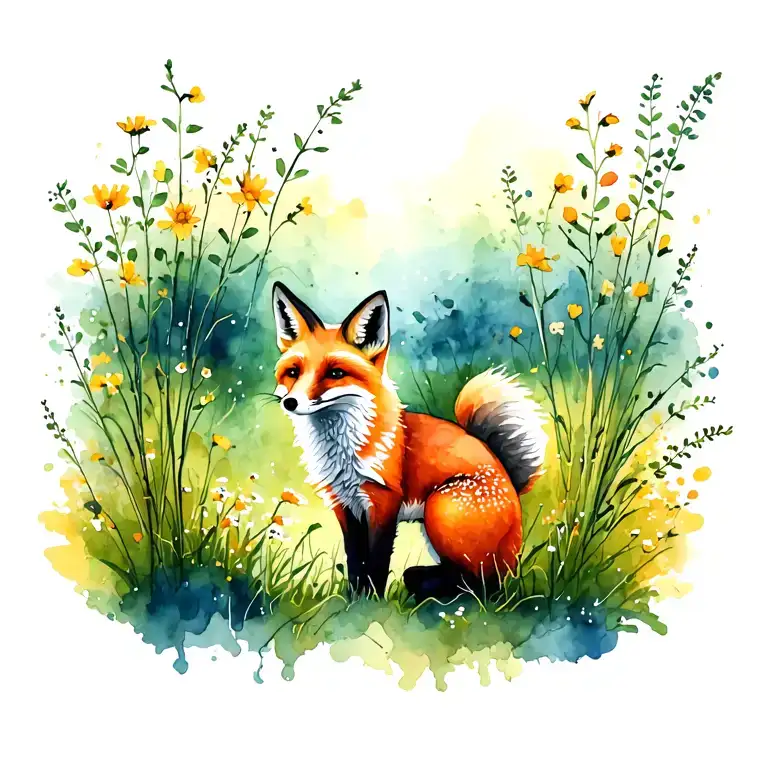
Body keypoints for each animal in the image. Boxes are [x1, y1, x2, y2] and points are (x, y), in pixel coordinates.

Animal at [272, 281, 548, 599]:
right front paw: (354, 598)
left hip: (439, 508)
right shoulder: (344, 504)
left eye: (335, 373)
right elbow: (355, 560)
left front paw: (372, 601)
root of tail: (513, 487)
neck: (342, 450)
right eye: (293, 372)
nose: (290, 403)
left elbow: (376, 561)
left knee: (483, 584)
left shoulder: (383, 502)